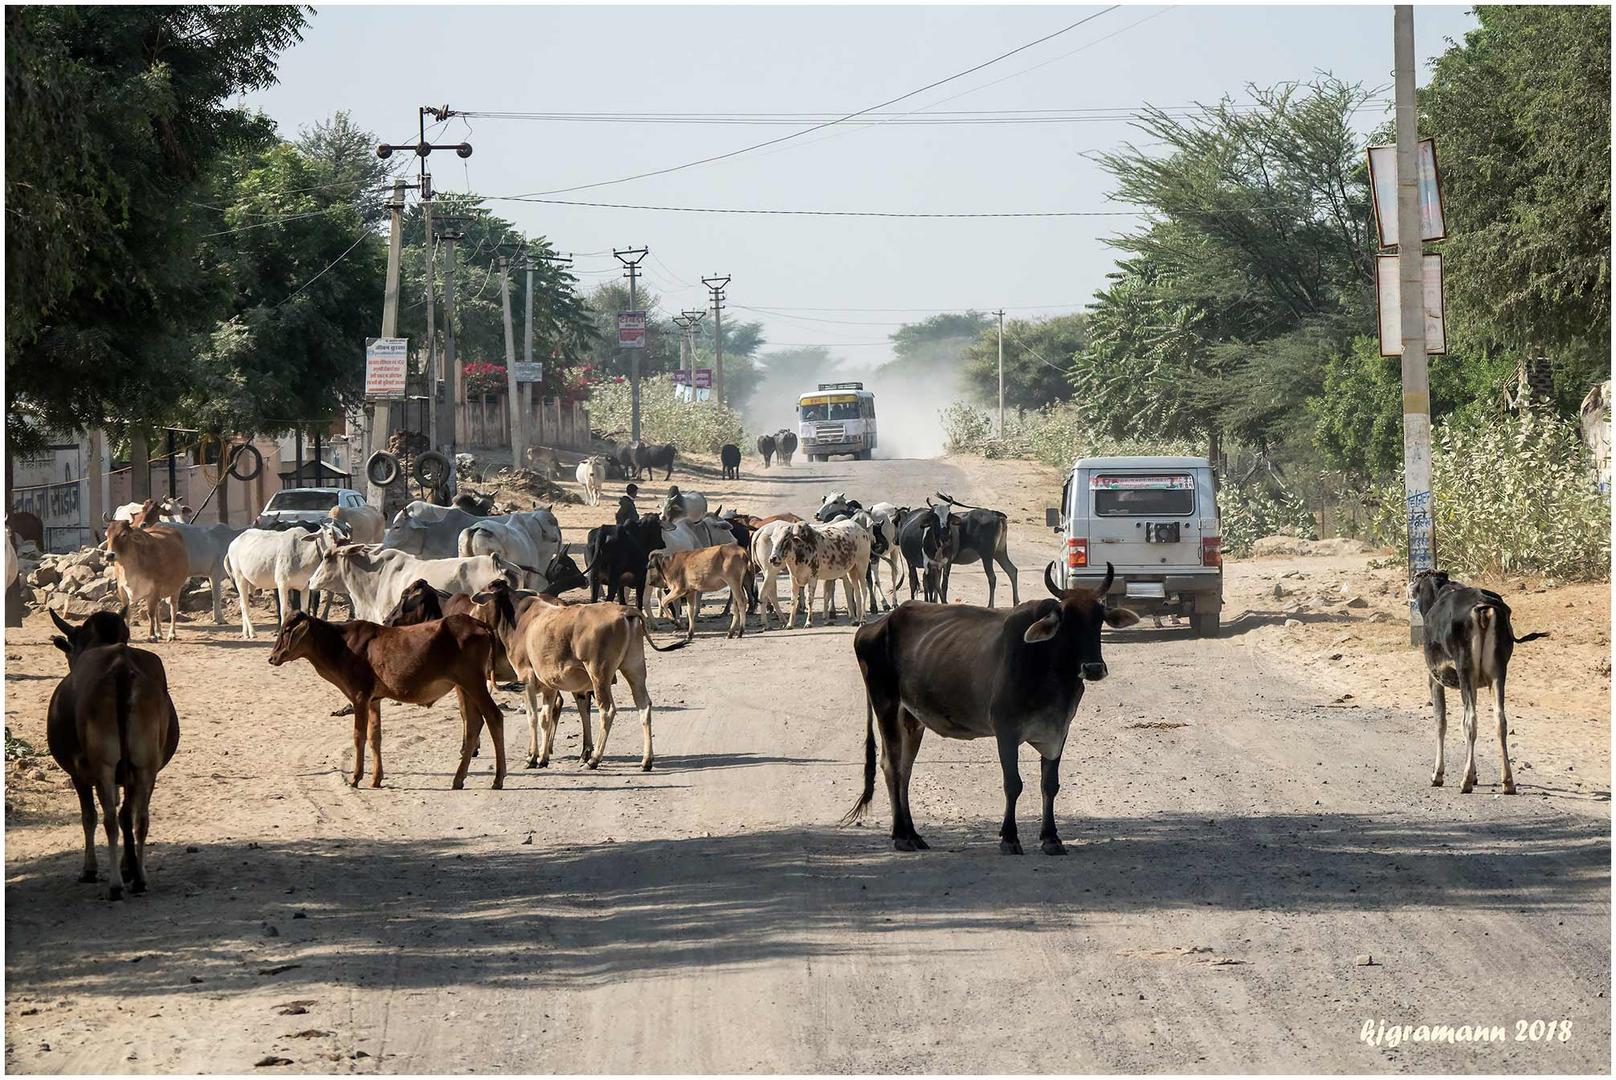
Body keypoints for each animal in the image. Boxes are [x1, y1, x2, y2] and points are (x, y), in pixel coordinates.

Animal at [47, 611, 181, 898]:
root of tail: (121, 665)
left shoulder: (78, 773)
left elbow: (89, 817)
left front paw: (90, 870)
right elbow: (126, 815)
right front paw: (129, 867)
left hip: (104, 765)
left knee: (108, 817)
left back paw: (116, 885)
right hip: (145, 765)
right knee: (140, 818)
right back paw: (139, 879)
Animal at [266, 611, 504, 788]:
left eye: (287, 630)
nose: (272, 657)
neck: (340, 645)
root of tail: (478, 623)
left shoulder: (360, 696)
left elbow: (359, 736)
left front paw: (355, 778)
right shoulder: (374, 700)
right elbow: (375, 737)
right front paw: (375, 779)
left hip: (473, 681)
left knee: (494, 716)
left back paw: (498, 779)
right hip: (463, 687)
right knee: (474, 724)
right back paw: (458, 779)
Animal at [846, 562, 1137, 853]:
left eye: (1098, 620)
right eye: (1066, 622)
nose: (1093, 668)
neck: (1048, 668)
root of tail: (873, 627)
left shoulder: (1058, 731)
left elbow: (1049, 784)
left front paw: (1051, 838)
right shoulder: (1005, 731)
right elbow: (1013, 784)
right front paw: (1009, 837)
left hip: (911, 719)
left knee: (905, 770)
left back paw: (913, 834)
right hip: (886, 706)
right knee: (892, 766)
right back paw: (901, 836)